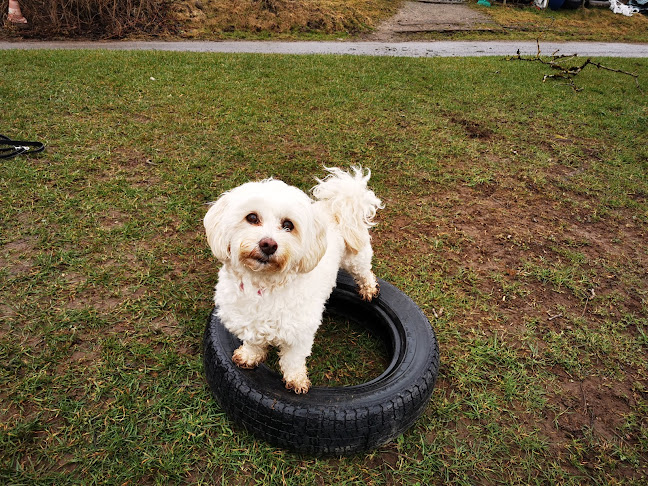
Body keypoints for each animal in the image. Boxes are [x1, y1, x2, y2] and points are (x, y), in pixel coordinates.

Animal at [205, 167, 382, 394]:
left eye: (288, 225)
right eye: (252, 217)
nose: (268, 244)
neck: (263, 285)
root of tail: (335, 204)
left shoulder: (300, 332)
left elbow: (293, 359)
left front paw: (296, 379)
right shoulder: (246, 320)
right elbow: (253, 342)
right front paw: (249, 356)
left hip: (356, 257)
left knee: (365, 272)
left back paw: (368, 289)